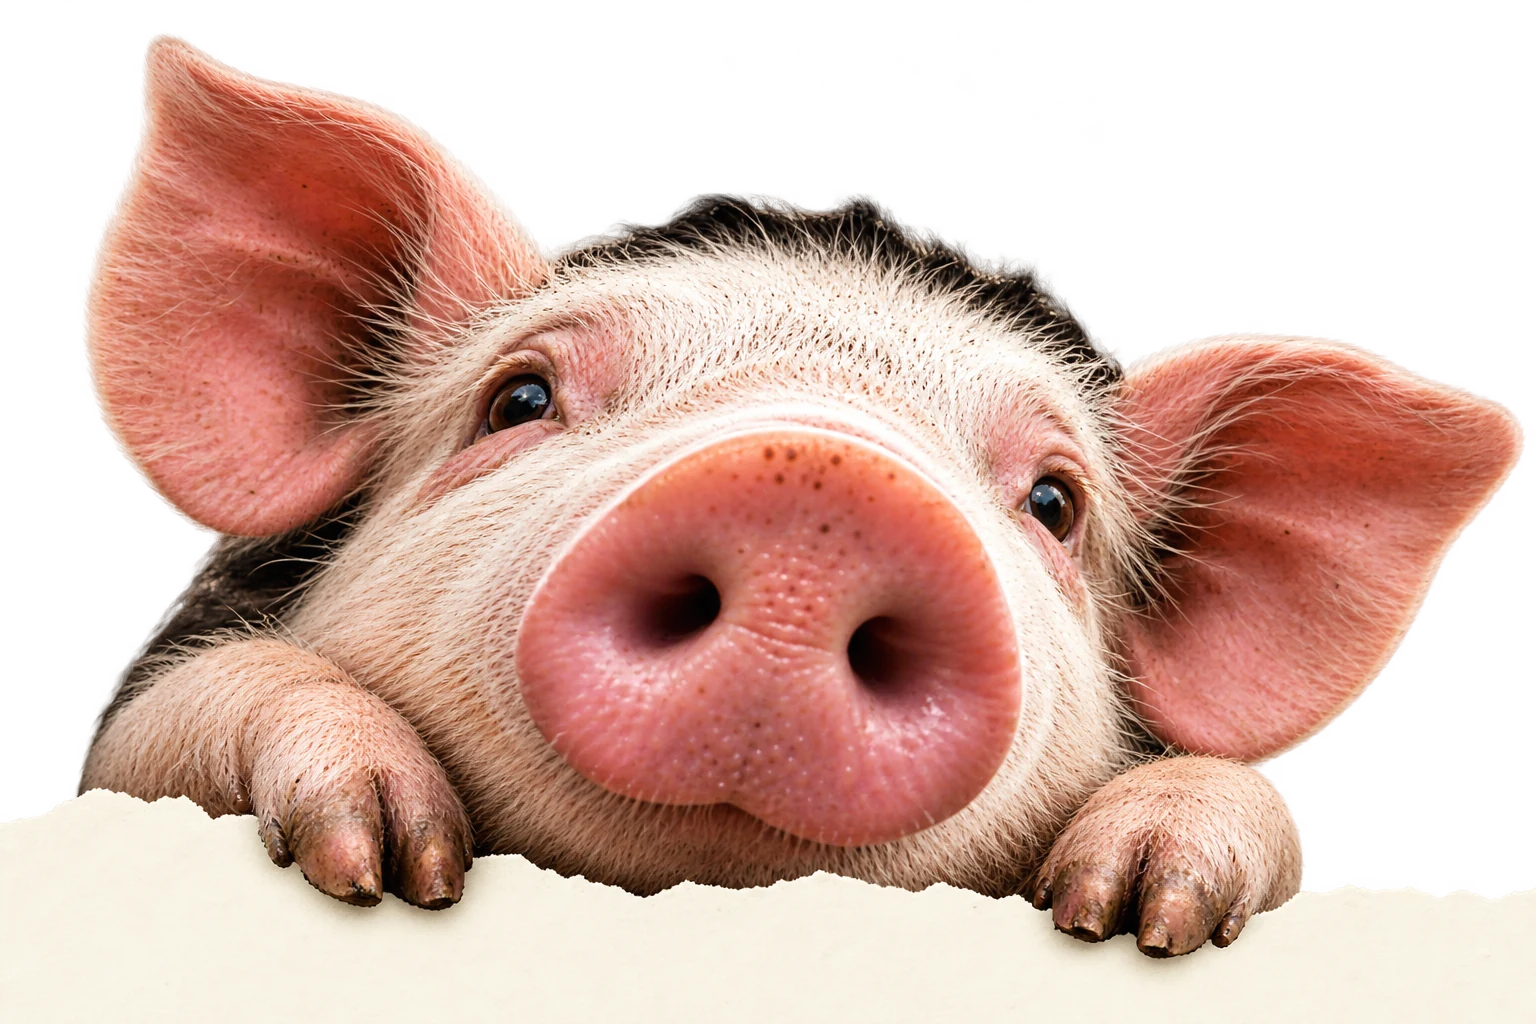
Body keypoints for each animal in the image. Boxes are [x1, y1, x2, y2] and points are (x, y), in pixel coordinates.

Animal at [78, 44, 1520, 958]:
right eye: (519, 399)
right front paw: (382, 860)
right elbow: (186, 716)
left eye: (1054, 504)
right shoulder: (147, 725)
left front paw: (1139, 913)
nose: (818, 486)